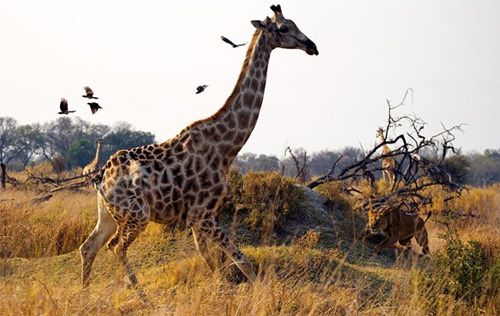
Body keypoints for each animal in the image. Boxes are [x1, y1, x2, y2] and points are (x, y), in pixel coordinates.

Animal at [66, 4, 318, 292]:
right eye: (284, 28)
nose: (312, 46)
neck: (226, 147)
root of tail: (101, 176)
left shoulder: (200, 217)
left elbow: (210, 258)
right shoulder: (203, 214)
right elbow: (240, 259)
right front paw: (261, 293)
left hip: (108, 214)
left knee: (89, 247)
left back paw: (85, 295)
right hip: (137, 214)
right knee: (116, 247)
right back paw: (143, 296)